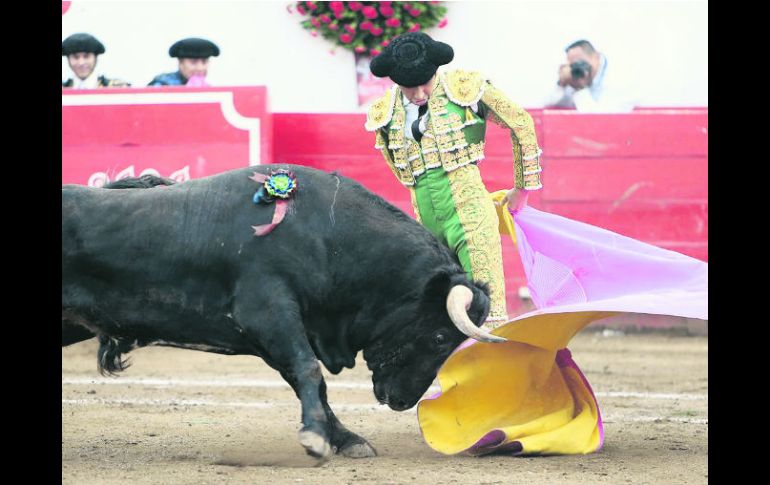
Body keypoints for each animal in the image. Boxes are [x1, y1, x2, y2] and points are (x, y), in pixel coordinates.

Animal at [61, 165, 504, 458]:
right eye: (440, 337)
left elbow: (308, 380)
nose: (402, 401)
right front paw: (318, 439)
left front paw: (344, 439)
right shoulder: (268, 313)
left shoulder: (285, 329)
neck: (329, 236)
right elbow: (309, 371)